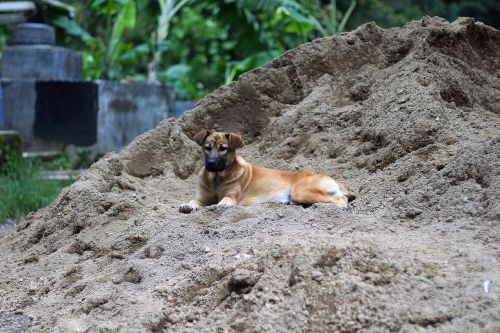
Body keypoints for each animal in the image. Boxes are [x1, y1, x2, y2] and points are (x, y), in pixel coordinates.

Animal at [178, 130, 354, 213]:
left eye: (223, 149)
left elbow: (225, 200)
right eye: (207, 148)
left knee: (341, 199)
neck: (216, 178)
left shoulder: (232, 197)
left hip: (303, 191)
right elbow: (194, 201)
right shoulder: (203, 198)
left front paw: (220, 205)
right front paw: (187, 205)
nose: (211, 164)